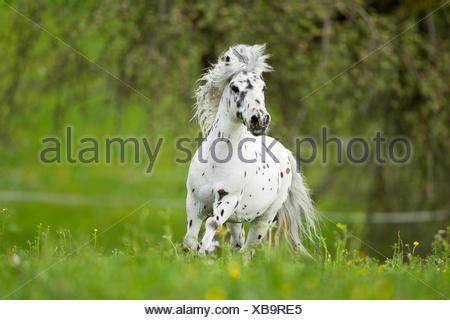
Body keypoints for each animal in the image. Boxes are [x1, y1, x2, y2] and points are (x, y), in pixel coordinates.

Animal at [183, 43, 316, 254]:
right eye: (235, 87)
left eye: (263, 87)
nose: (260, 119)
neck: (217, 161)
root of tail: (286, 153)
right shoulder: (194, 202)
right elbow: (189, 240)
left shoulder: (227, 200)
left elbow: (212, 224)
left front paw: (203, 253)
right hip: (236, 220)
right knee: (238, 245)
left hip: (263, 219)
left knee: (248, 249)